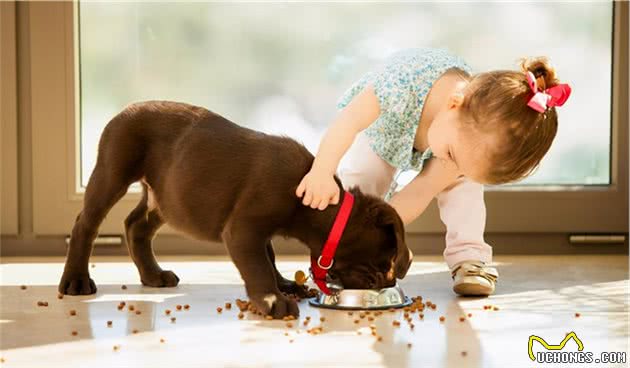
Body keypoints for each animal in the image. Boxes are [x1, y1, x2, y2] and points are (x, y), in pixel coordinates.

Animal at [58, 100, 414, 320]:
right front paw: (273, 299)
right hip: (113, 170)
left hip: (167, 196)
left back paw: (153, 275)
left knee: (136, 225)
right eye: (385, 261)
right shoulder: (244, 229)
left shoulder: (259, 231)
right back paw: (76, 280)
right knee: (85, 223)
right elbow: (258, 265)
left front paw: (284, 285)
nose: (386, 282)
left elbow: (269, 257)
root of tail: (126, 109)